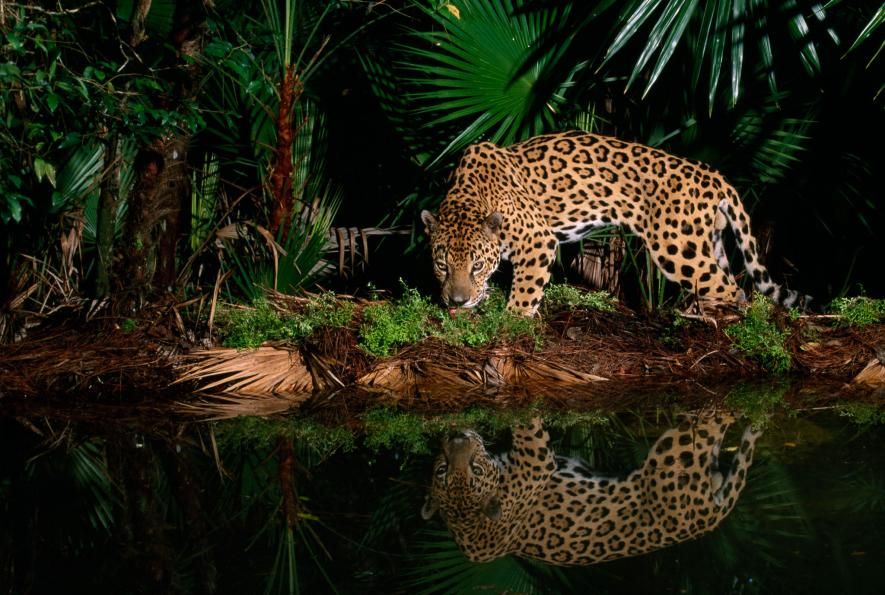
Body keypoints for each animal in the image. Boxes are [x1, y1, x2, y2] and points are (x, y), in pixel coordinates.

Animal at [421, 130, 810, 315]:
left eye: (476, 265)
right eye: (441, 265)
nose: (456, 301)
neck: (471, 194)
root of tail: (713, 175)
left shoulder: (538, 240)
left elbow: (526, 289)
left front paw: (512, 318)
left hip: (678, 249)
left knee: (733, 290)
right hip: (706, 241)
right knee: (733, 284)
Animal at [421, 413, 760, 566]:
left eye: (442, 470)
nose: (458, 438)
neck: (469, 522)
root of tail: (707, 518)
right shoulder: (537, 461)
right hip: (674, 454)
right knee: (715, 420)